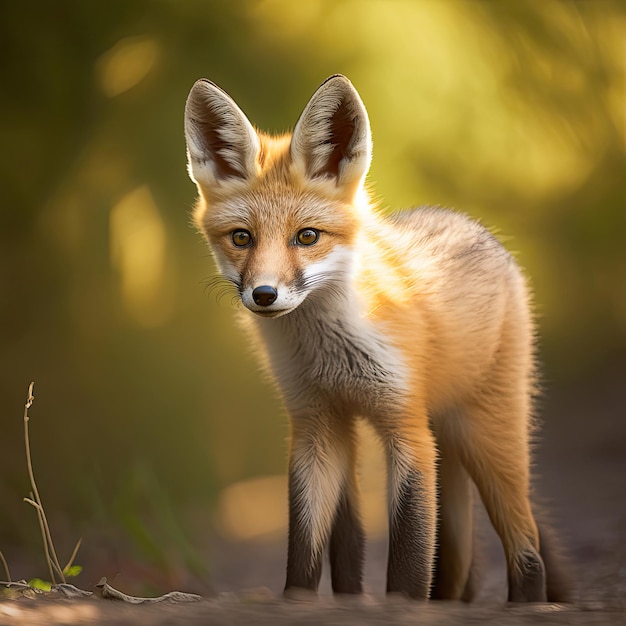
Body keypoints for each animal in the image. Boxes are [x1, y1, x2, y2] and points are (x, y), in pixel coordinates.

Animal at [183, 75, 568, 604]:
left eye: (307, 237)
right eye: (242, 238)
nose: (264, 295)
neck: (327, 351)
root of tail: (472, 225)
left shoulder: (407, 428)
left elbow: (409, 556)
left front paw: (403, 605)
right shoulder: (314, 425)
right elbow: (304, 548)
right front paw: (300, 602)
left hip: (488, 437)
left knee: (527, 548)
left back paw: (529, 602)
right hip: (409, 439)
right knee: (401, 549)